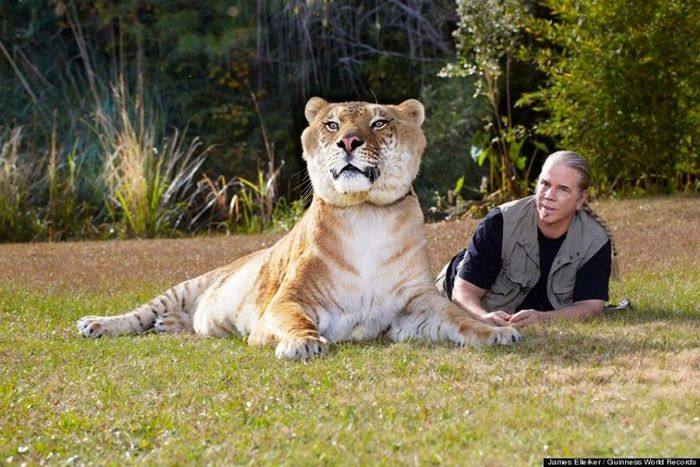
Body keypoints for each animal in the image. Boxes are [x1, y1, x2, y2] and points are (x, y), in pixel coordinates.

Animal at [77, 97, 522, 359]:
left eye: (379, 122)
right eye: (331, 125)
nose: (349, 142)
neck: (366, 217)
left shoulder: (413, 309)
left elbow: (459, 318)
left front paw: (495, 332)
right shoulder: (286, 301)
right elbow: (291, 320)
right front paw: (304, 344)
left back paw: (169, 325)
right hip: (189, 284)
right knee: (139, 314)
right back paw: (97, 324)